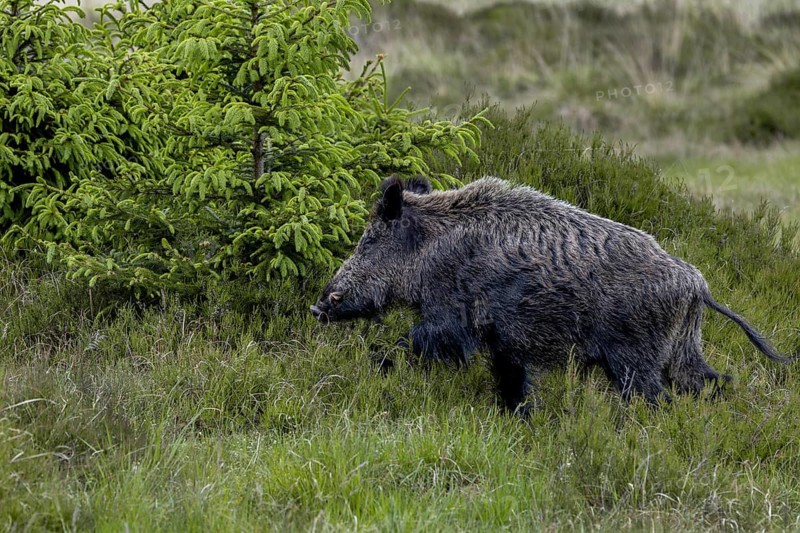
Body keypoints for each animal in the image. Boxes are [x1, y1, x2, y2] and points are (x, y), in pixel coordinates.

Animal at [311, 176, 792, 412]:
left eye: (371, 238)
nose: (319, 305)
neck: (434, 247)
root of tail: (697, 284)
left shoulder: (453, 322)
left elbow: (411, 341)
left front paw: (379, 361)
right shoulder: (506, 344)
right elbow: (513, 383)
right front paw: (517, 417)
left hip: (636, 360)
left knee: (658, 399)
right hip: (681, 354)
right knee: (714, 384)